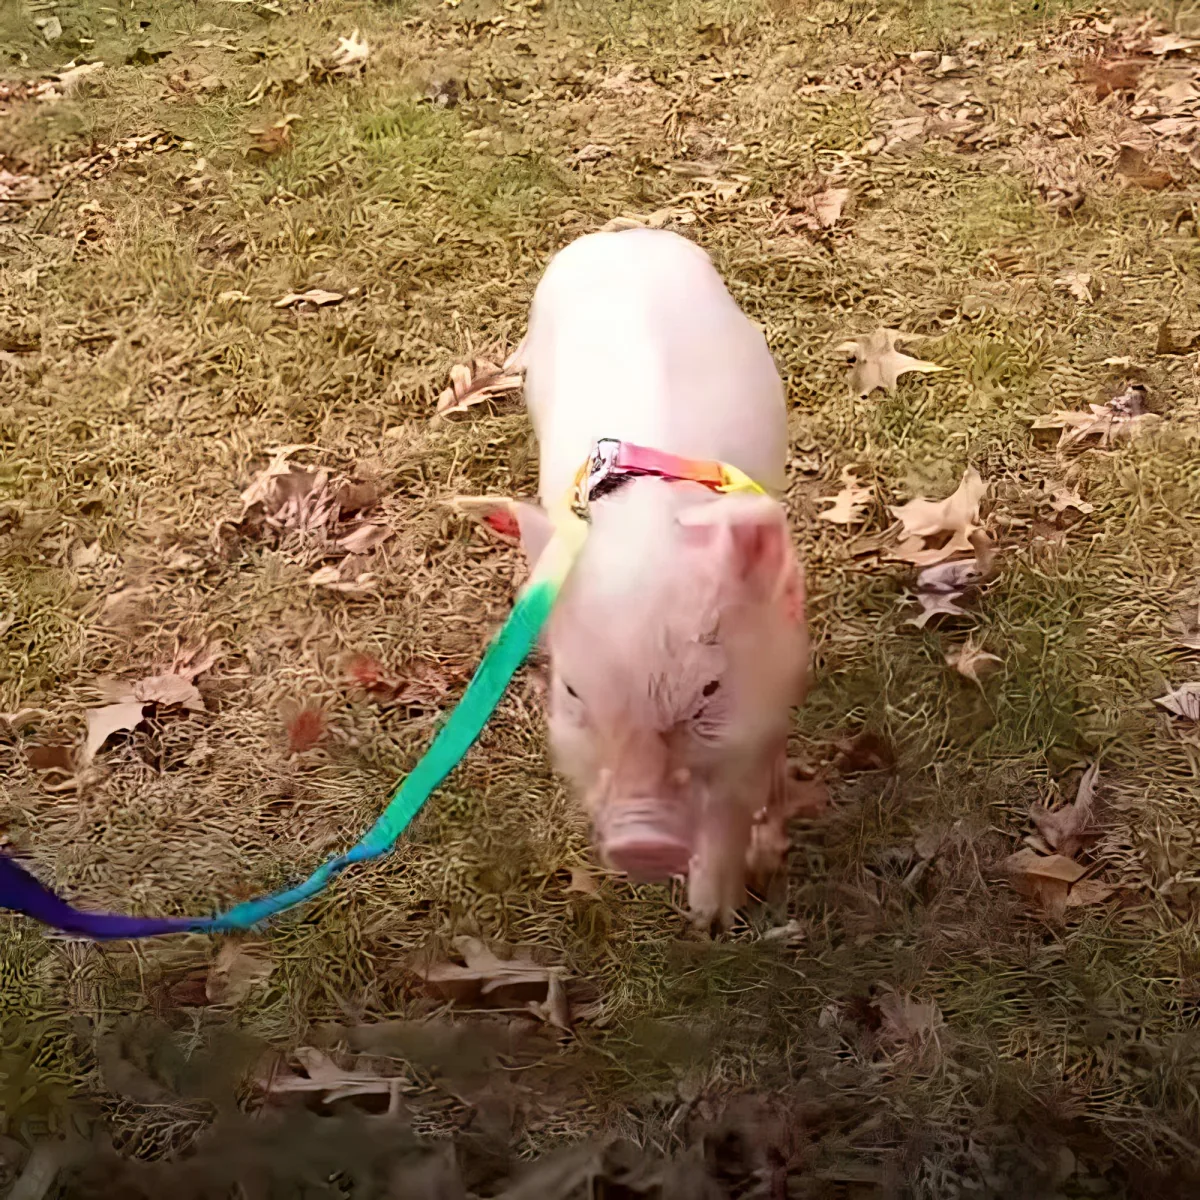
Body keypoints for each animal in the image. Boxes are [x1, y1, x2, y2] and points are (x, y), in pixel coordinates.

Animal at [507, 228, 808, 929]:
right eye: (573, 693)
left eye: (708, 690)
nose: (641, 843)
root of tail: (621, 234)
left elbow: (732, 801)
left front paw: (716, 921)